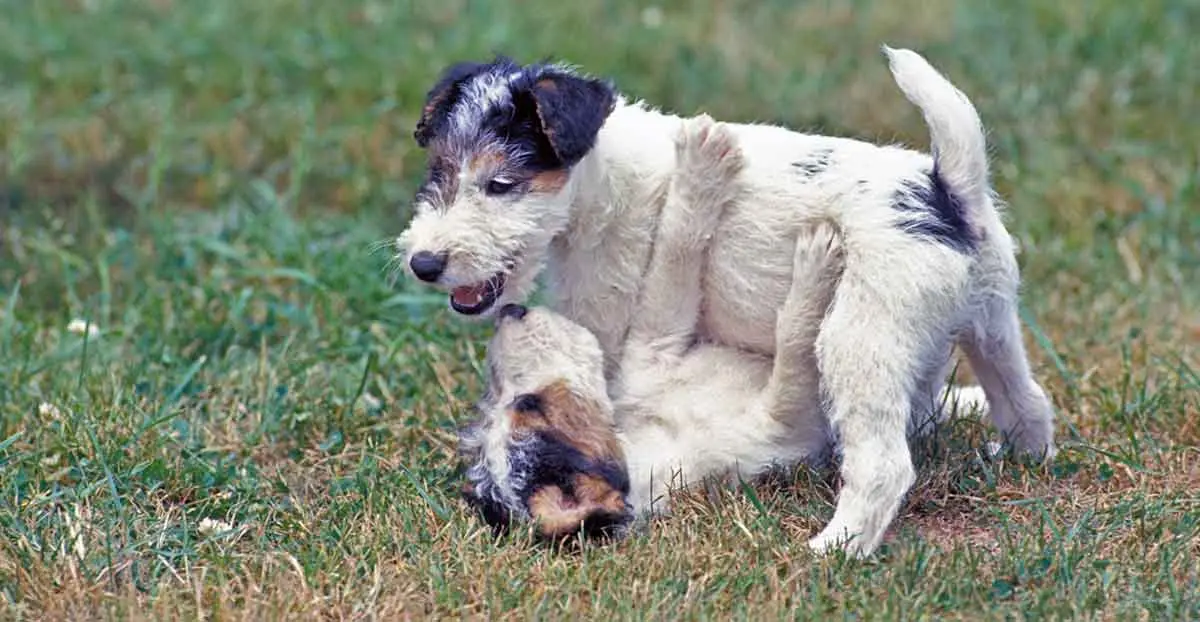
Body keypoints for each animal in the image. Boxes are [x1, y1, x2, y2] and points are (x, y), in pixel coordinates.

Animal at [456, 118, 844, 540]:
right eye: (529, 403)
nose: (510, 311)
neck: (653, 435)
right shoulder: (778, 417)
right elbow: (792, 348)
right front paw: (816, 262)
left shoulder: (654, 347)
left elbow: (671, 262)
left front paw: (698, 169)